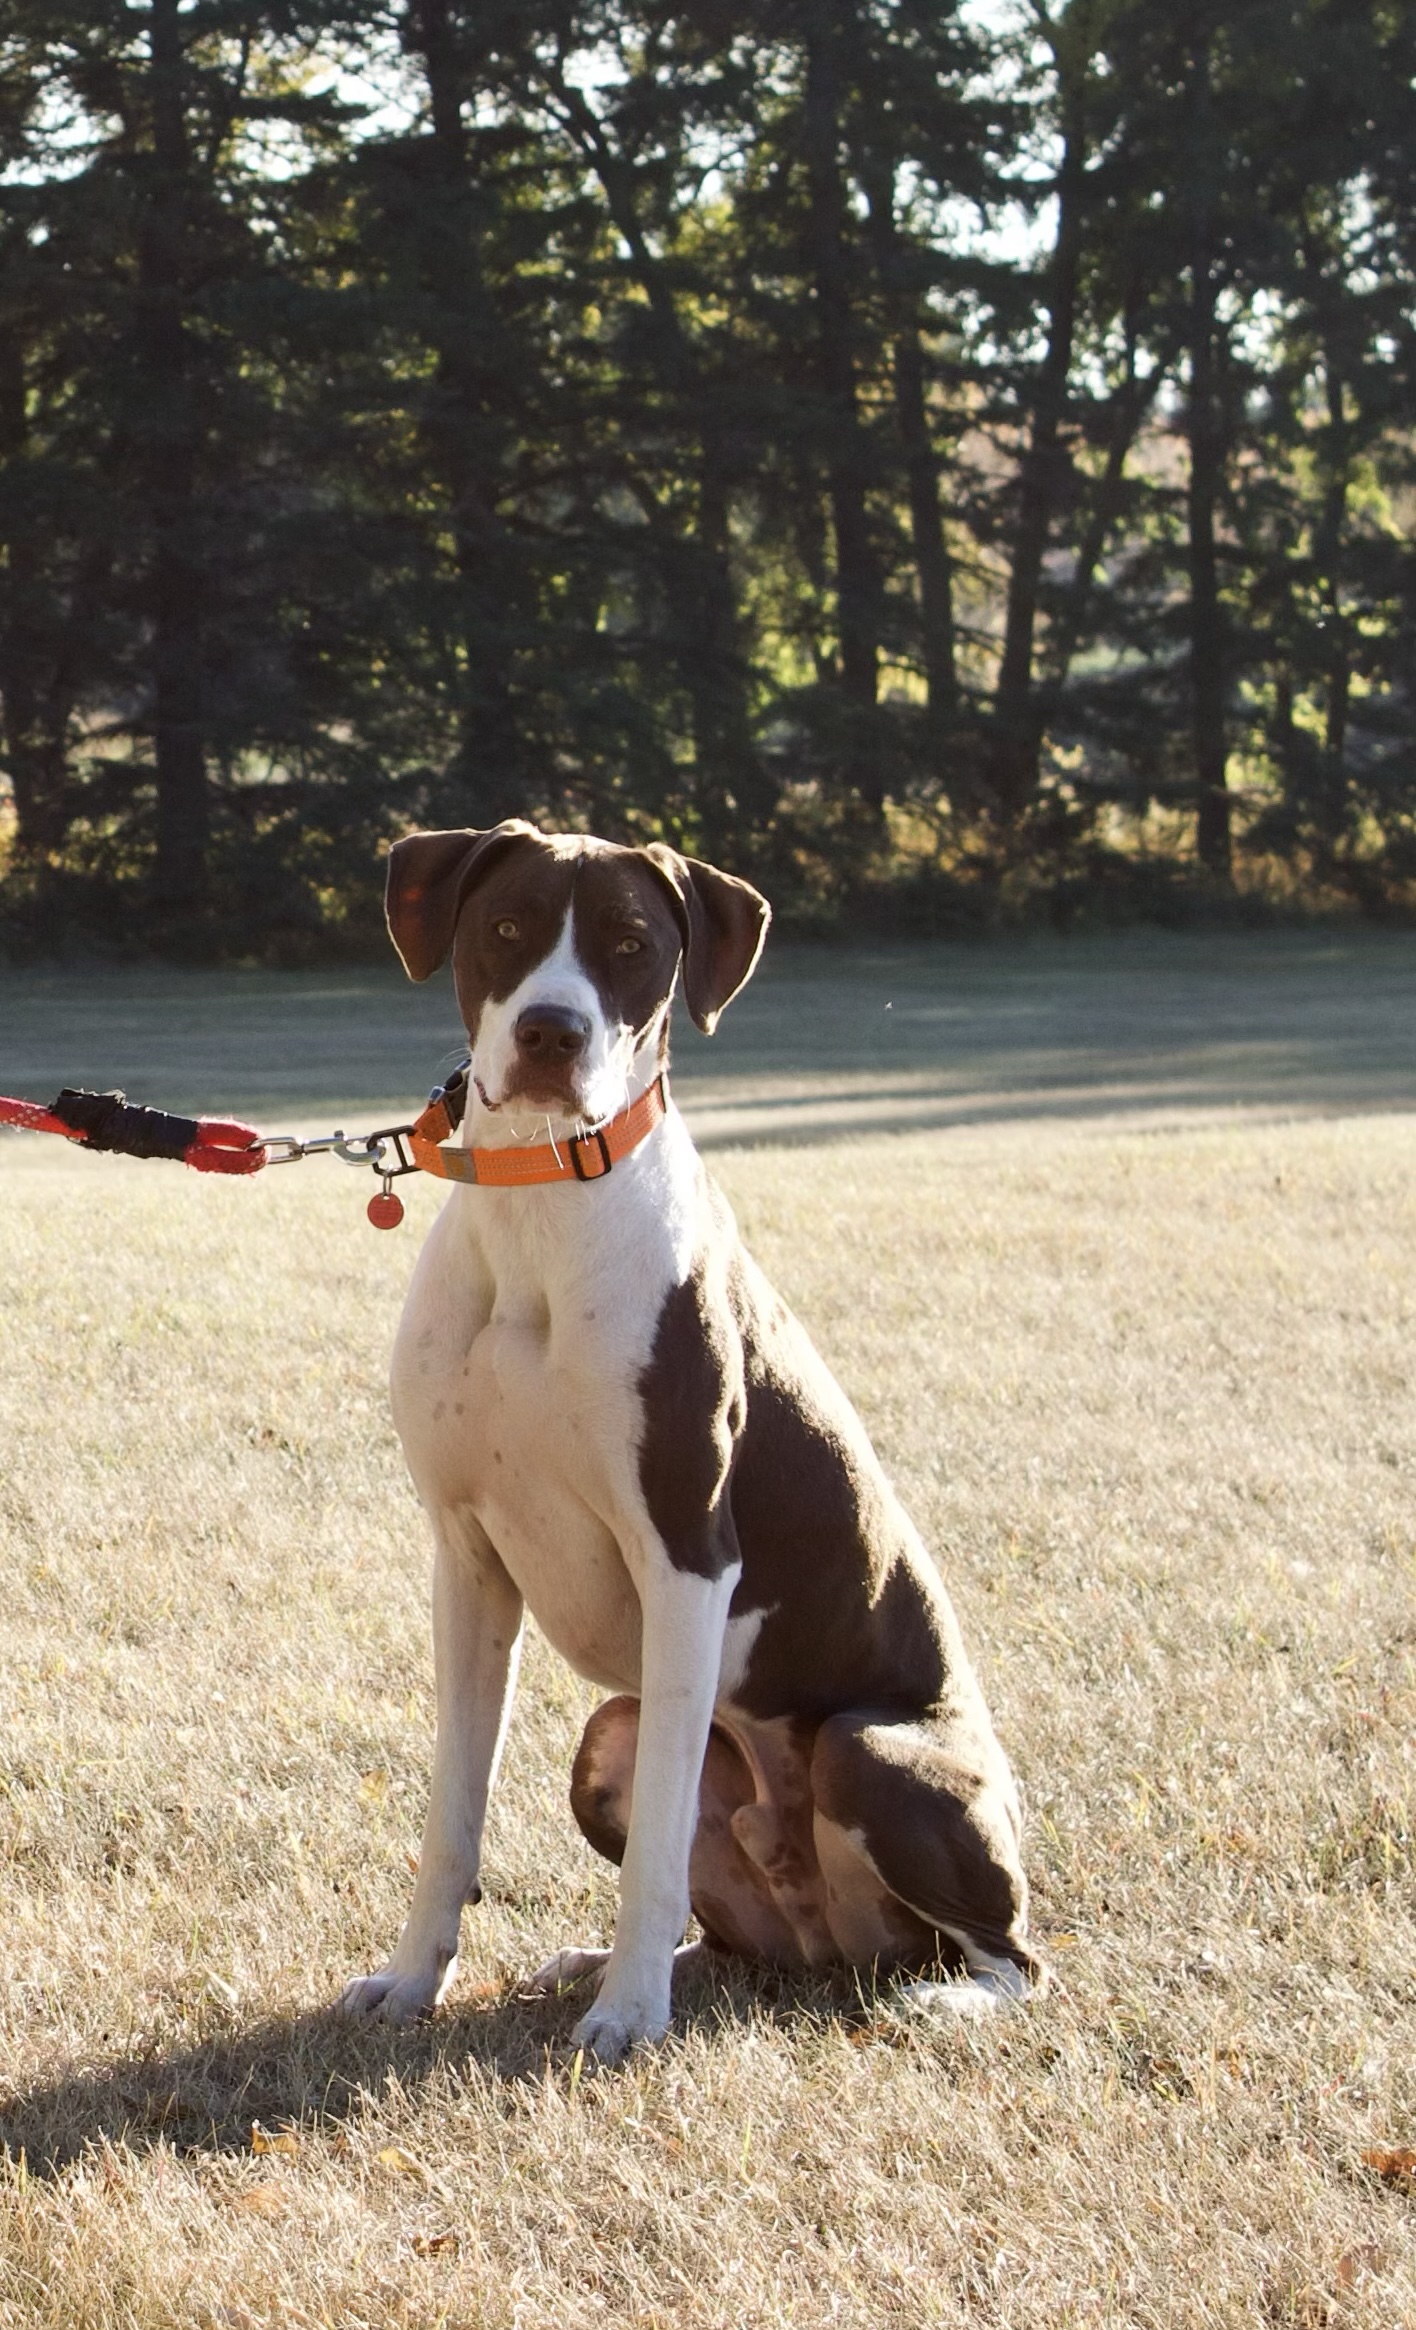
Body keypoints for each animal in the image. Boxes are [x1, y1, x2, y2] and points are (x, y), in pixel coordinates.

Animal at [339, 820, 1040, 2061]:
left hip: (875, 1748)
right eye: (507, 926)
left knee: (1012, 1953)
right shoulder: (467, 1563)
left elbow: (660, 1838)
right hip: (606, 1743)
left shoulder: (685, 1558)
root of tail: (834, 1948)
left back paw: (935, 1995)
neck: (544, 1206)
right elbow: (454, 1815)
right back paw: (616, 1961)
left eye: (630, 944)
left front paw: (626, 2017)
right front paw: (415, 1977)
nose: (551, 1031)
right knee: (737, 1933)